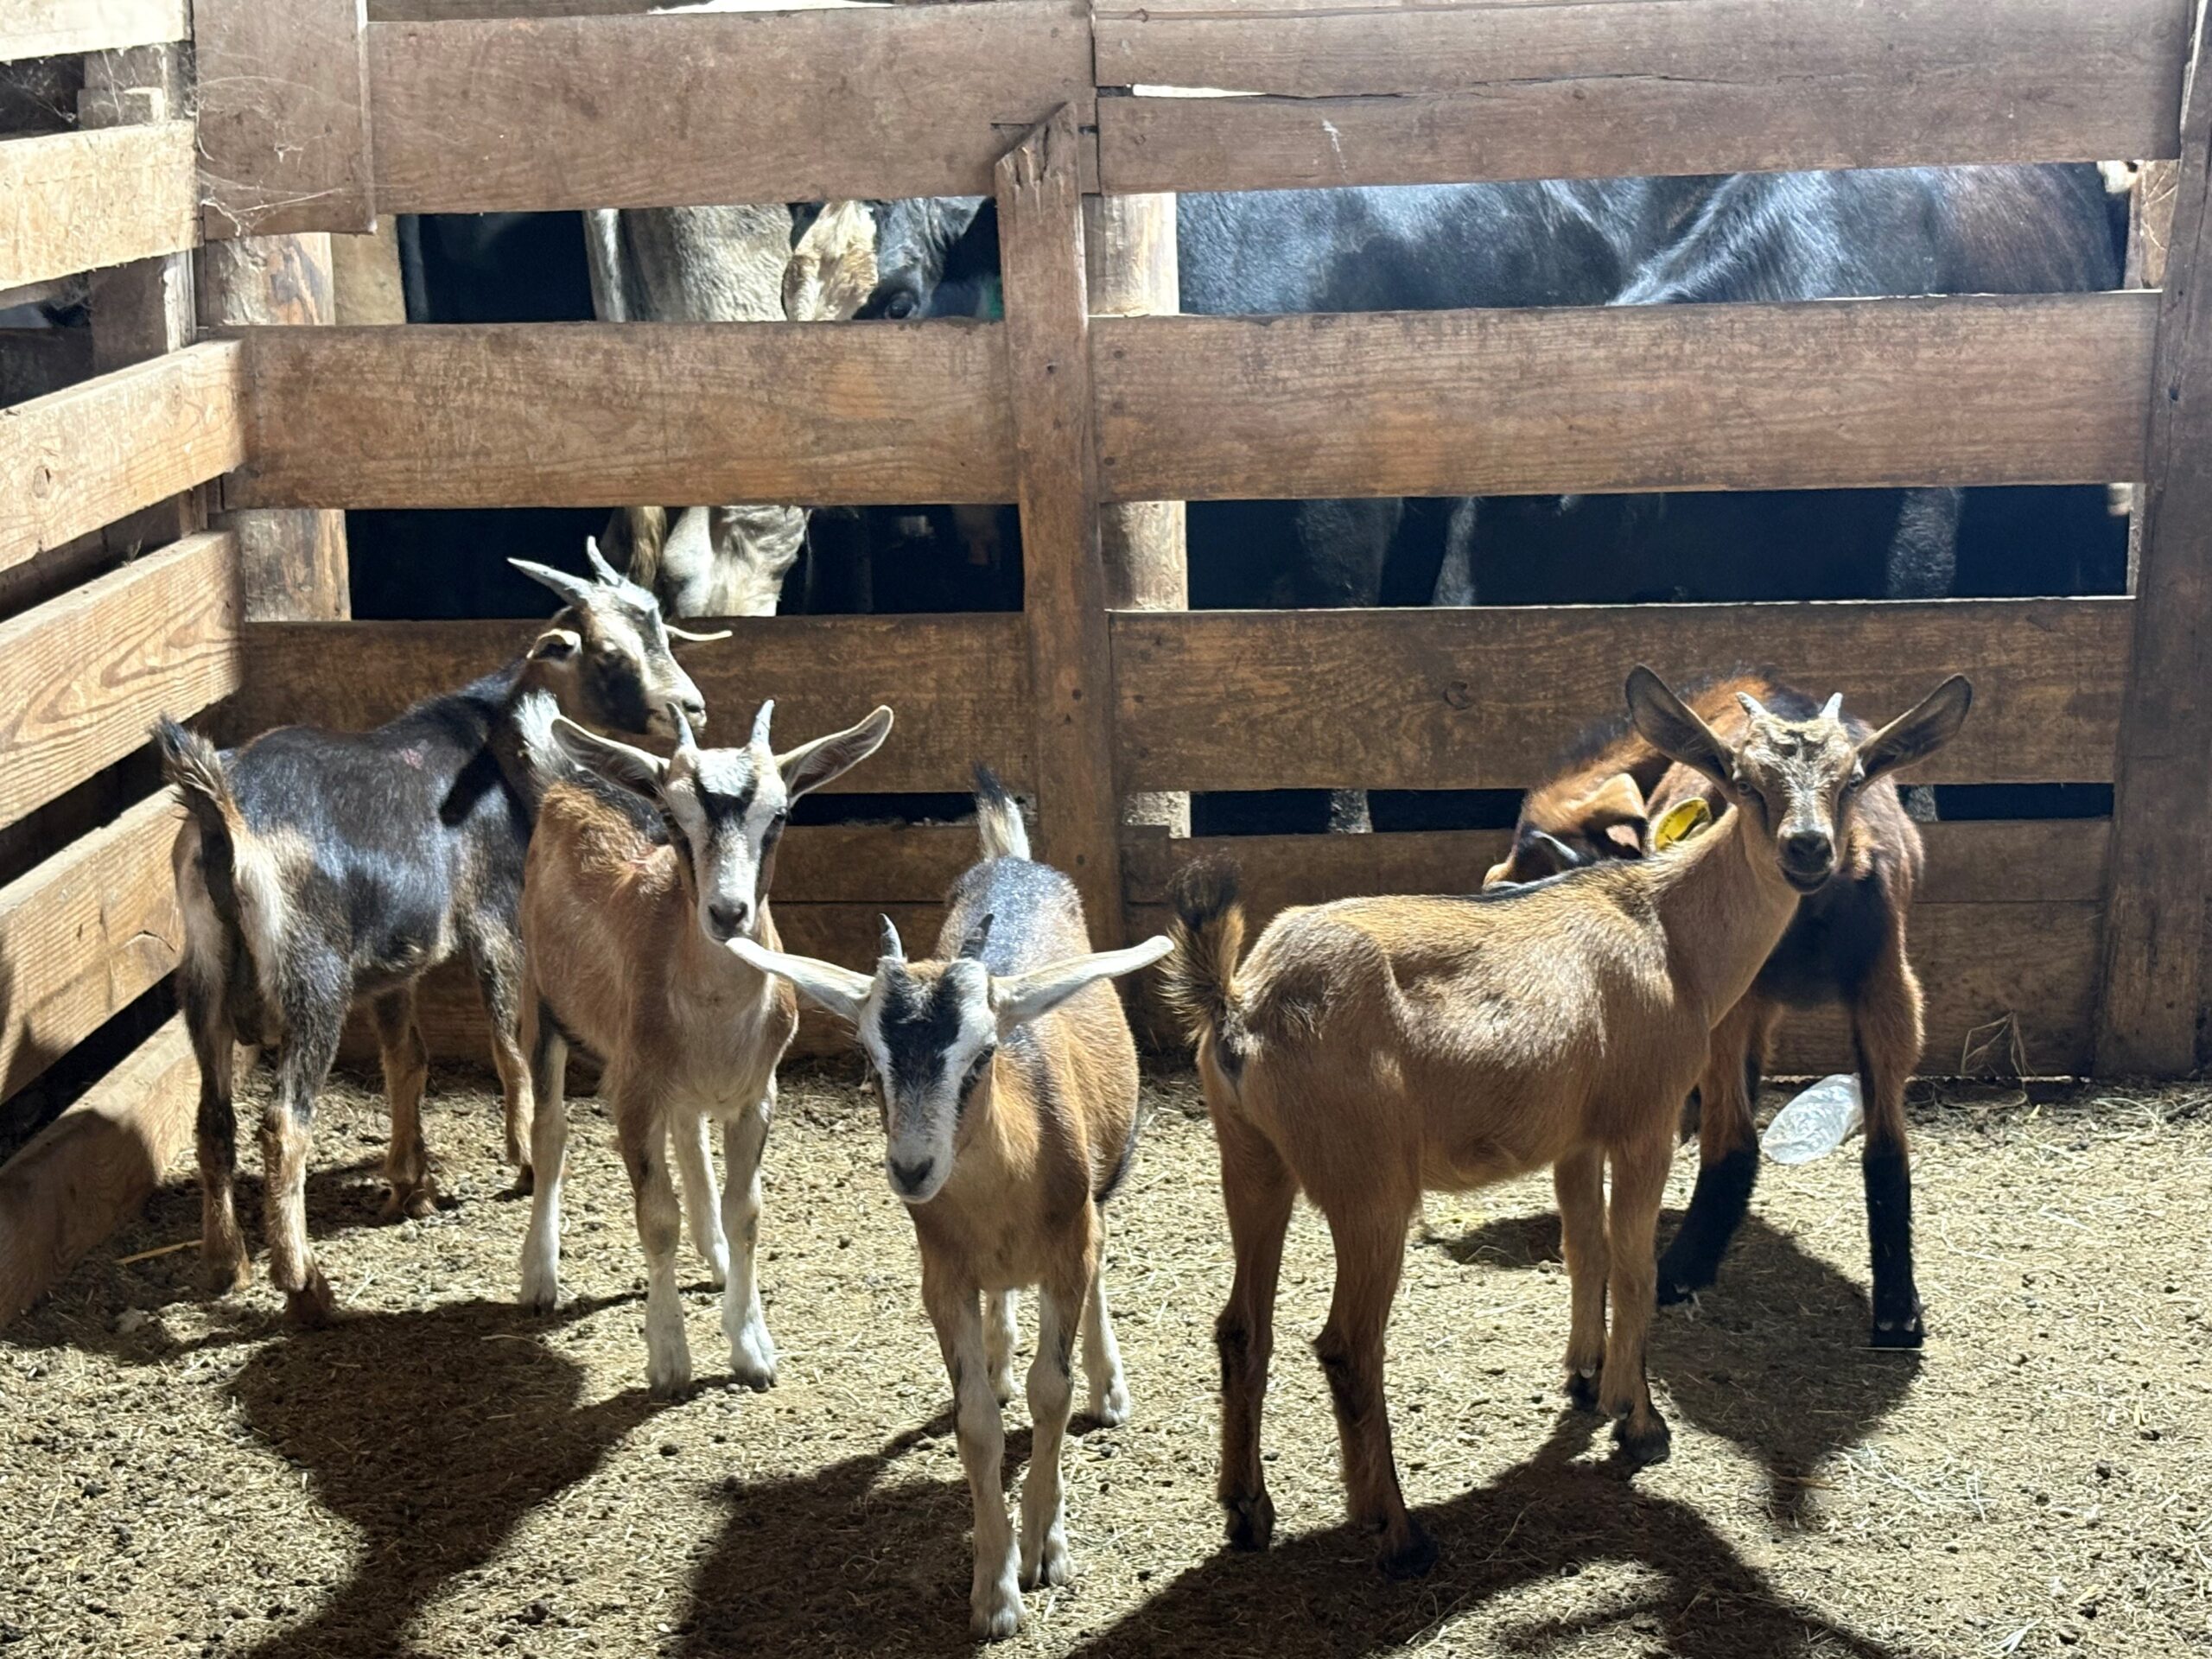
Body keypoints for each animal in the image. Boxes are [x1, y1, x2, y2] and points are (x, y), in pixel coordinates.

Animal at [154, 544, 720, 1324]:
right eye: (608, 652)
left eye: (661, 633)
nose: (691, 707)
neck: (493, 743)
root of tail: (223, 816)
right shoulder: (496, 920)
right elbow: (507, 1047)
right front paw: (522, 1161)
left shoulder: (396, 963)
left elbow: (408, 1060)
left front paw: (408, 1183)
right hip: (312, 980)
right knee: (284, 1124)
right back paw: (305, 1286)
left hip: (203, 978)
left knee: (214, 1120)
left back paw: (225, 1263)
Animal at [516, 699, 894, 1395]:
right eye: (672, 817)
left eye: (781, 814)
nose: (727, 912)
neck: (715, 1015)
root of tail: (566, 776)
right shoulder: (633, 1090)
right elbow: (655, 1217)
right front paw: (668, 1359)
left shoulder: (758, 1092)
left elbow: (746, 1210)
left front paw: (751, 1349)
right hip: (543, 1004)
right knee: (550, 1133)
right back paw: (538, 1277)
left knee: (689, 1132)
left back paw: (713, 1254)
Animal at [731, 770, 1171, 1639]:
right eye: (869, 1056)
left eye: (983, 1053)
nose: (913, 1167)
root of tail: (1013, 861)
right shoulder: (943, 1276)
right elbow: (973, 1419)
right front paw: (993, 1591)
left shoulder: (1069, 1246)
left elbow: (1050, 1392)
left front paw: (1043, 1549)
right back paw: (1001, 1354)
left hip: (1104, 1190)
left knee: (1101, 1268)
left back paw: (1108, 1388)